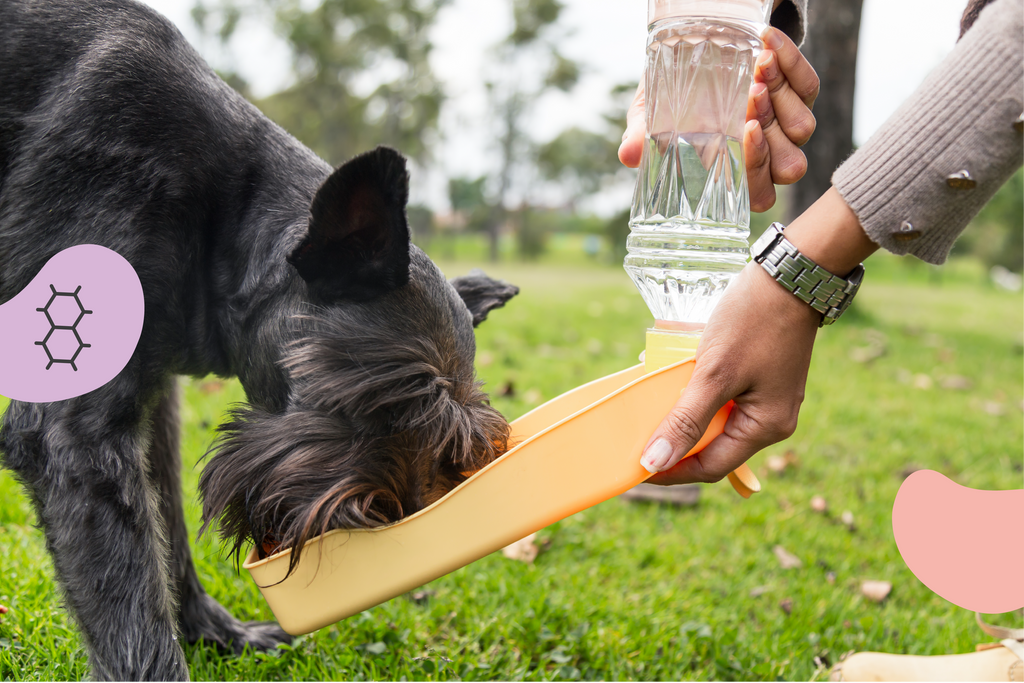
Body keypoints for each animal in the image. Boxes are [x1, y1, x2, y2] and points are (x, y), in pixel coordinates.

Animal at [0, 0, 512, 679]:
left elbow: (166, 529)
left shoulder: (149, 404)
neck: (219, 218)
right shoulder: (72, 431)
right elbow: (132, 609)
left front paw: (213, 630)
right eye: (383, 399)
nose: (388, 522)